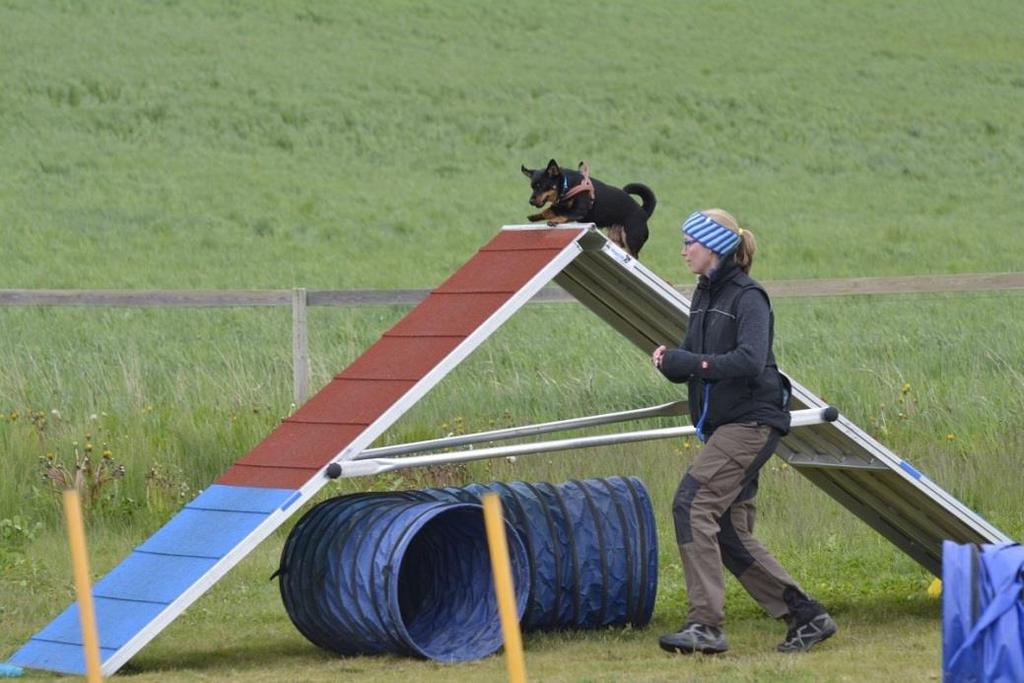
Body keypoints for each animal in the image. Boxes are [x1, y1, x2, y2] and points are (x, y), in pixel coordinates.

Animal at [520, 158, 655, 258]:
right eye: (532, 187)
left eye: (541, 186)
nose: (531, 201)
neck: (567, 185)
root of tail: (644, 213)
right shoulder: (560, 206)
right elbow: (548, 211)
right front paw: (535, 217)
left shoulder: (579, 210)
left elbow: (564, 215)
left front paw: (554, 221)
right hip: (616, 239)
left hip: (631, 240)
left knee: (635, 256)